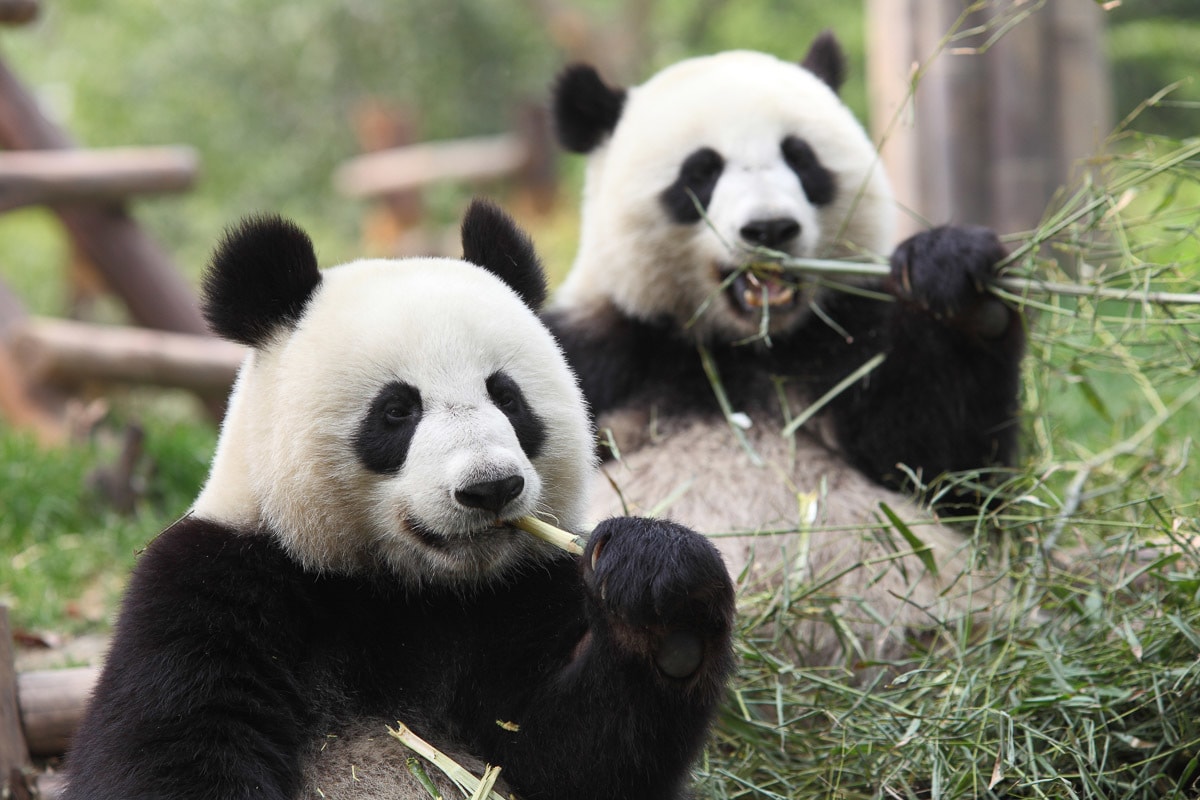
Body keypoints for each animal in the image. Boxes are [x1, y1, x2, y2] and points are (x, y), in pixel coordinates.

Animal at [68, 200, 739, 800]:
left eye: (507, 397)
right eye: (397, 410)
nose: (491, 487)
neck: (412, 591)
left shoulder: (519, 595)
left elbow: (568, 758)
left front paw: (660, 588)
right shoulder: (219, 585)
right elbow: (170, 751)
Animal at [544, 31, 1022, 671]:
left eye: (801, 158)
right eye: (701, 171)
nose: (770, 229)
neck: (743, 347)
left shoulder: (846, 345)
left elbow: (947, 470)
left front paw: (954, 280)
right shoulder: (597, 354)